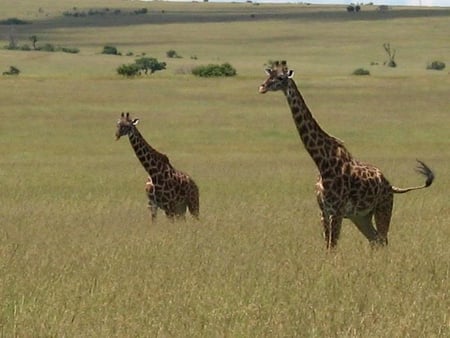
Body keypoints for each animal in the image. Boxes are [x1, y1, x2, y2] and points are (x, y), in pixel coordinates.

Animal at [258, 61, 434, 248]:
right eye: (269, 74)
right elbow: (327, 246)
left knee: (383, 239)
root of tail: (391, 186)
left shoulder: (337, 210)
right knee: (375, 240)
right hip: (361, 216)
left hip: (384, 207)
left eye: (280, 77)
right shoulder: (324, 211)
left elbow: (332, 246)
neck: (322, 161)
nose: (262, 87)